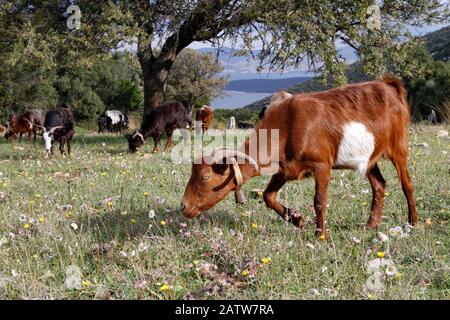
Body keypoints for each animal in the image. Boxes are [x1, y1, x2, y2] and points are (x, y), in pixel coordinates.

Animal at [181, 77, 420, 238]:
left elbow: (319, 202)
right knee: (379, 185)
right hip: (369, 157)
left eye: (205, 177)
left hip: (399, 147)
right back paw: (371, 225)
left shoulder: (321, 164)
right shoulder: (285, 169)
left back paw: (413, 222)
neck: (288, 123)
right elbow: (268, 196)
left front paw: (320, 235)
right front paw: (297, 219)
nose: (184, 207)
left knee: (407, 184)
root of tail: (389, 85)